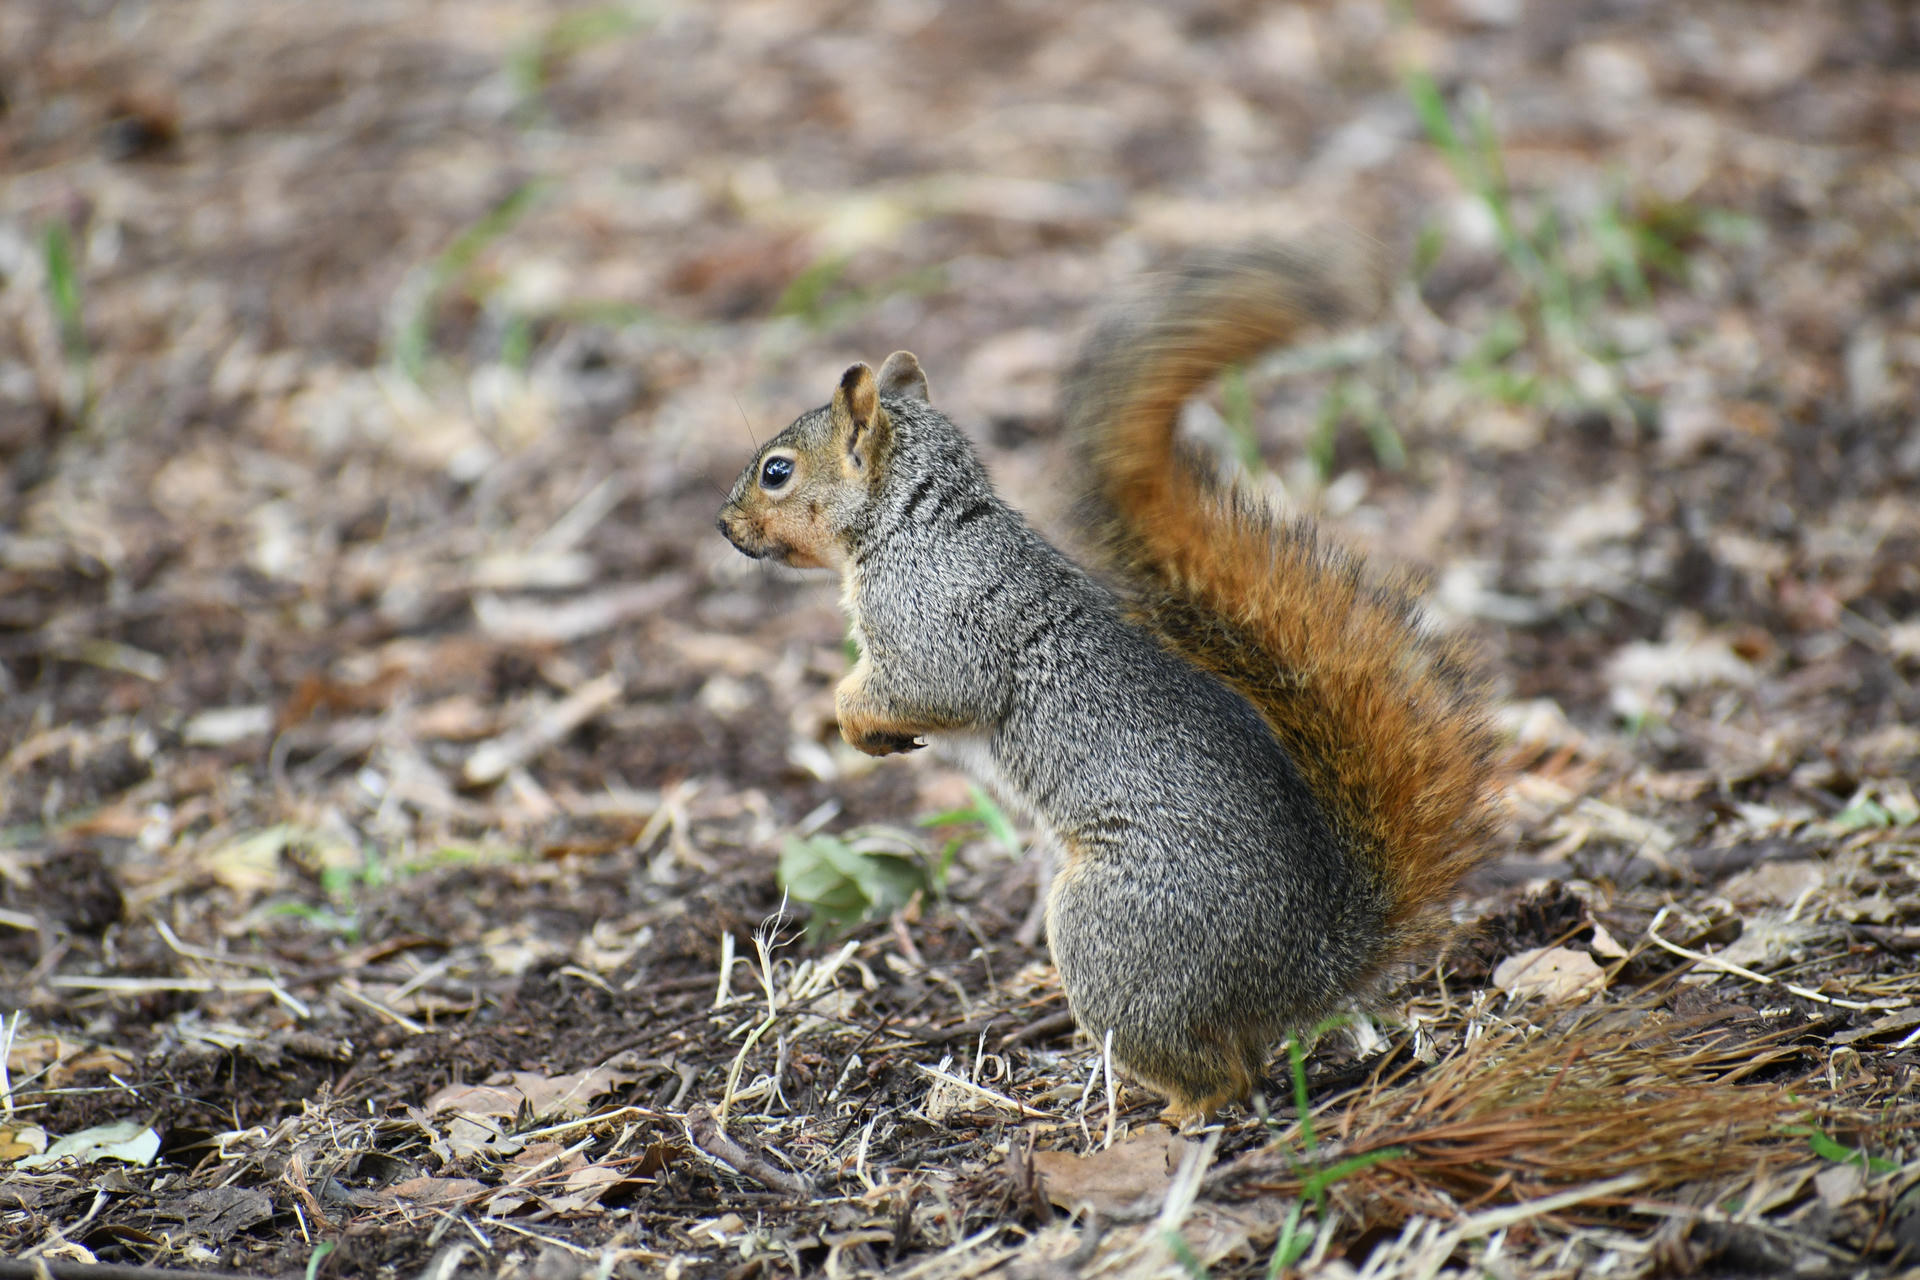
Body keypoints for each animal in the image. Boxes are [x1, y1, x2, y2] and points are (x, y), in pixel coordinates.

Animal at [716, 239, 1500, 1124]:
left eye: (776, 472)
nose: (722, 524)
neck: (911, 523)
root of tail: (1311, 964)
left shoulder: (936, 622)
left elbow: (934, 686)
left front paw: (853, 717)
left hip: (1116, 936)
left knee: (1217, 1072)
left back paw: (1167, 1115)